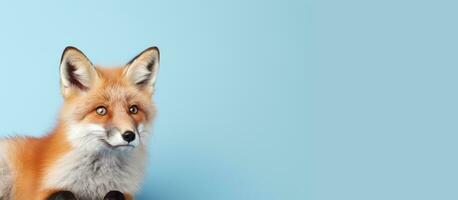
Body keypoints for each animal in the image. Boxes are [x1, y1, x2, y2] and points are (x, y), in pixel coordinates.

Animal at [0, 45, 159, 200]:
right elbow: (65, 194)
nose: (129, 135)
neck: (96, 179)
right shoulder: (41, 193)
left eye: (133, 109)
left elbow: (115, 194)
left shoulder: (124, 193)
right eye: (101, 110)